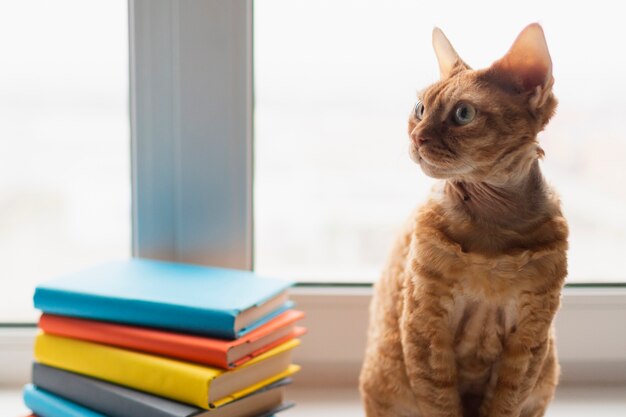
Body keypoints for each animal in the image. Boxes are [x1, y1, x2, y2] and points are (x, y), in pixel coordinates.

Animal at [356, 23, 564, 416]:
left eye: (463, 114)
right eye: (420, 108)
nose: (416, 136)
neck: (492, 225)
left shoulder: (530, 336)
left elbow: (504, 403)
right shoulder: (425, 322)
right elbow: (440, 400)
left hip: (547, 371)